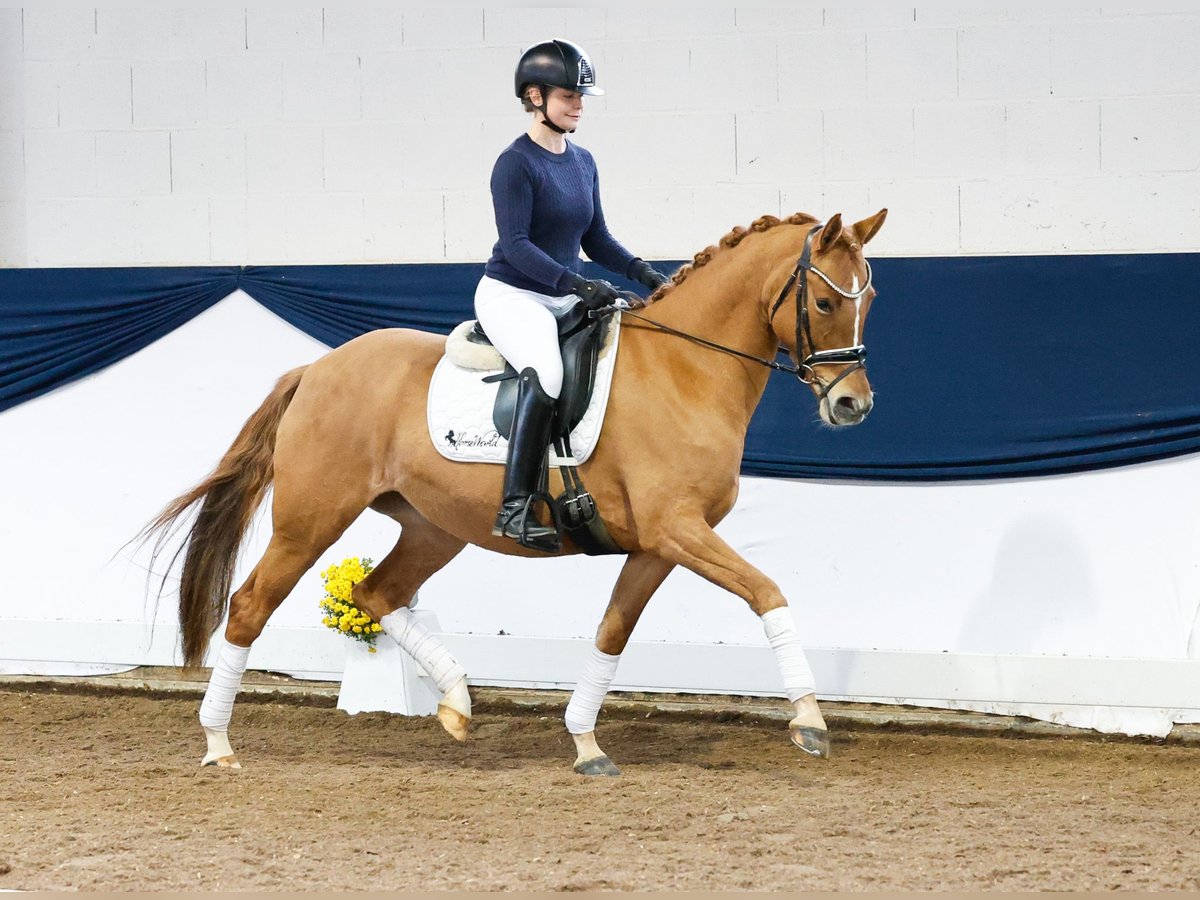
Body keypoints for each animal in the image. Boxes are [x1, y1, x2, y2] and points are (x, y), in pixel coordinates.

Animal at [145, 210, 888, 777]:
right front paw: (810, 720)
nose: (852, 405)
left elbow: (613, 632)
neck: (685, 368)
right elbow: (767, 592)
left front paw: (586, 744)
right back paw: (218, 745)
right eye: (825, 302)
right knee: (249, 606)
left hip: (433, 526)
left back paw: (456, 704)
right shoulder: (677, 528)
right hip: (311, 520)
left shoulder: (659, 544)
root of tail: (318, 367)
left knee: (376, 592)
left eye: (870, 302)